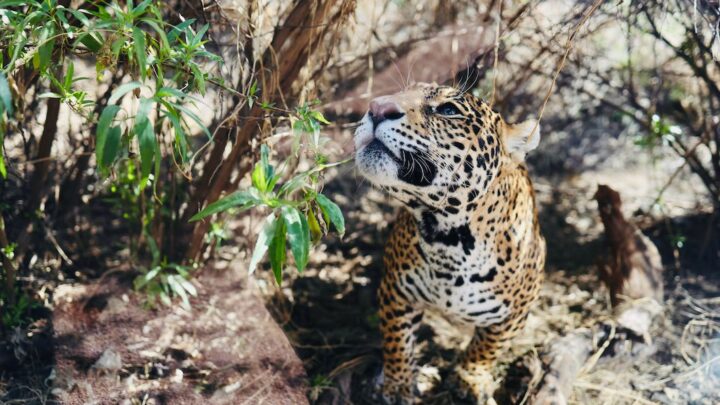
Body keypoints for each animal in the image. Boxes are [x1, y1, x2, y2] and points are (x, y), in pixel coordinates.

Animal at [354, 83, 546, 404]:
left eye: (448, 110)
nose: (377, 108)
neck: (450, 241)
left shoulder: (515, 314)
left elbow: (487, 348)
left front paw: (470, 379)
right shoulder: (397, 290)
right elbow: (397, 339)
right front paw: (397, 383)